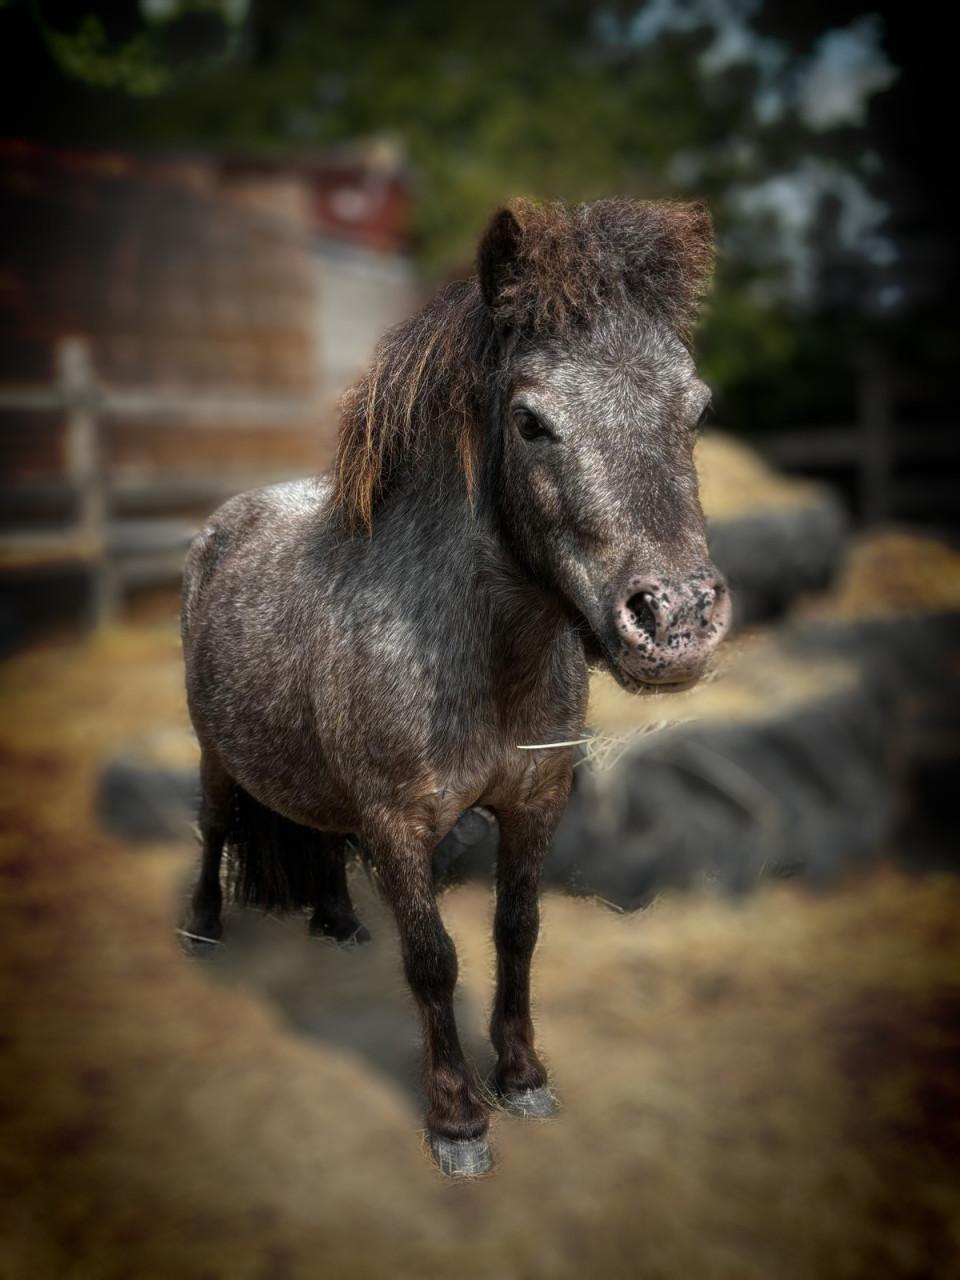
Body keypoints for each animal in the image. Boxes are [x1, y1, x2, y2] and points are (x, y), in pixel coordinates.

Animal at [180, 196, 731, 1176]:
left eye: (696, 408)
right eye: (530, 422)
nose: (675, 621)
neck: (480, 656)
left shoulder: (535, 804)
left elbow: (518, 931)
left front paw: (522, 1077)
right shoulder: (401, 826)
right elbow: (433, 958)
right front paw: (459, 1122)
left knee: (320, 837)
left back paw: (338, 923)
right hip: (215, 755)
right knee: (212, 830)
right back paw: (204, 931)